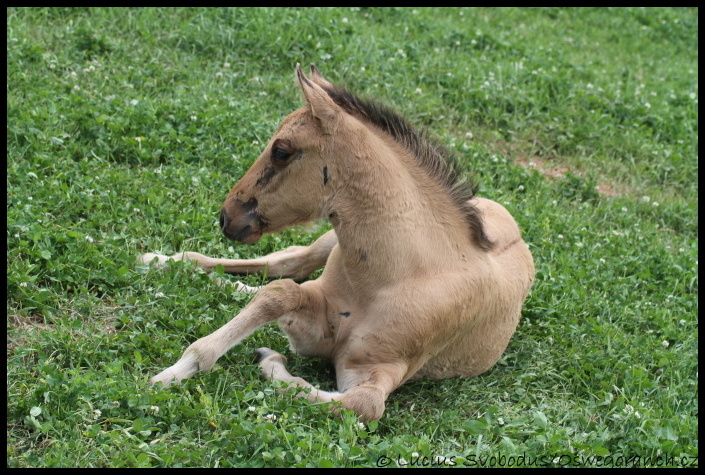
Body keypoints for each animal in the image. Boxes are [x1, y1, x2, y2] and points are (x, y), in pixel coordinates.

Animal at [144, 65, 532, 422]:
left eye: (281, 151)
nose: (227, 216)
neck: (399, 276)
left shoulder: (374, 366)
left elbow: (362, 404)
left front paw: (268, 360)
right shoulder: (314, 317)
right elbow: (280, 293)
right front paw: (176, 371)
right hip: (327, 242)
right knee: (286, 262)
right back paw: (160, 260)